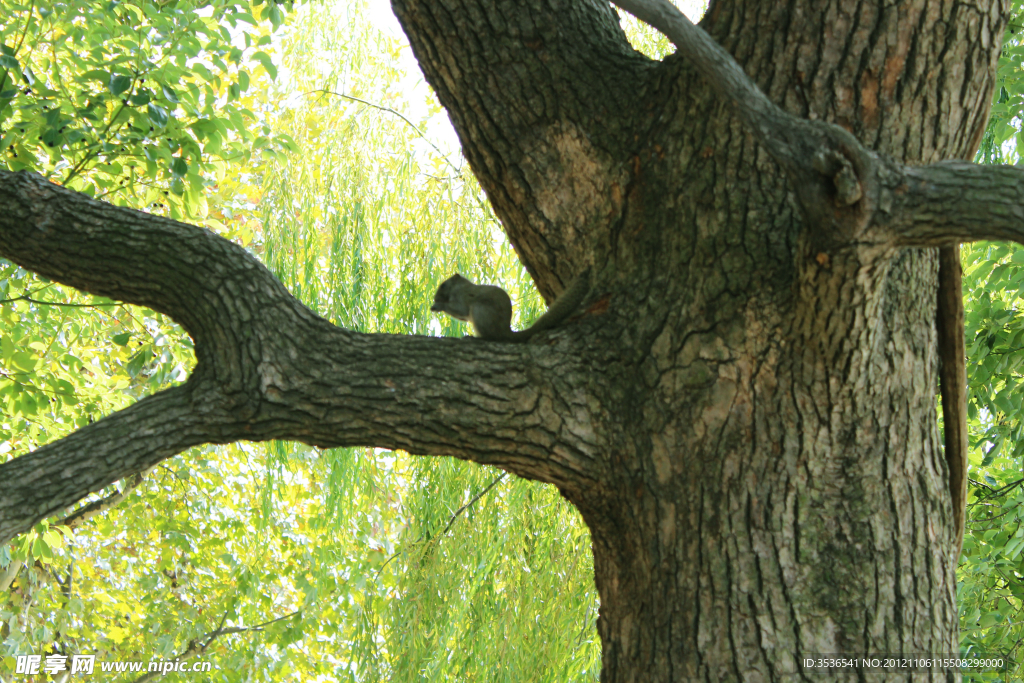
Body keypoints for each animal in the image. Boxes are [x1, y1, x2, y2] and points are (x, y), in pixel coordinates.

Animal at [432, 266, 593, 342]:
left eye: (443, 285)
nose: (435, 298)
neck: (458, 287)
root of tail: (505, 332)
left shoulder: (464, 296)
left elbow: (460, 309)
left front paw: (438, 306)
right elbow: (462, 316)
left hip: (480, 311)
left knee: (492, 338)